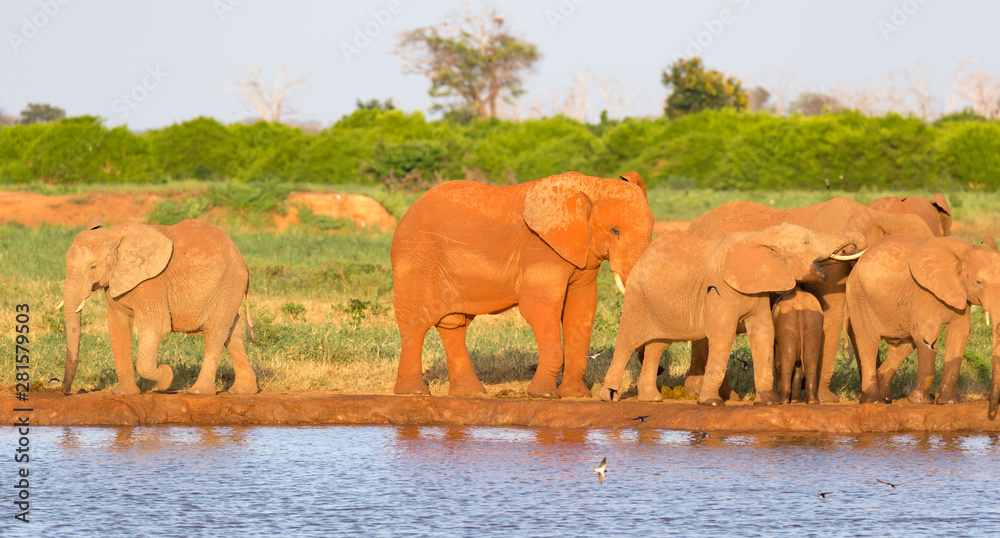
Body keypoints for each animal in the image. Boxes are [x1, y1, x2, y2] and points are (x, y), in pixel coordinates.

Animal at [62, 218, 258, 395]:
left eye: (93, 266)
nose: (66, 390)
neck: (112, 234)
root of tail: (242, 259)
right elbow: (118, 327)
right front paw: (123, 393)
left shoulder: (151, 282)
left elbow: (155, 328)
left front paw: (166, 378)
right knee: (232, 332)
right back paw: (243, 391)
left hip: (229, 283)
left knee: (215, 332)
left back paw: (198, 392)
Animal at [391, 171, 654, 399]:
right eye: (614, 231)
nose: (658, 370)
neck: (591, 185)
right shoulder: (542, 249)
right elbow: (539, 308)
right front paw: (545, 395)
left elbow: (581, 310)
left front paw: (577, 395)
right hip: (416, 257)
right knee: (416, 323)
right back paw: (414, 393)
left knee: (453, 325)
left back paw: (470, 393)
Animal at [598, 223, 863, 406]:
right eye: (806, 243)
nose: (854, 245)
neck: (761, 236)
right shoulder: (722, 290)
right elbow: (723, 337)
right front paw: (712, 403)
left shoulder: (759, 291)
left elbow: (764, 333)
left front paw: (767, 402)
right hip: (637, 297)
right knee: (627, 342)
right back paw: (608, 397)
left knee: (657, 345)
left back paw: (651, 399)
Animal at [684, 196, 946, 403]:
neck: (881, 215)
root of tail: (693, 226)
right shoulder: (833, 271)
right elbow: (832, 316)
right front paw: (827, 398)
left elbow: (855, 324)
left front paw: (879, 396)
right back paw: (715, 395)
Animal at [846, 235, 1000, 413]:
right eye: (978, 282)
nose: (991, 414)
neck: (966, 249)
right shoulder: (924, 293)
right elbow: (929, 335)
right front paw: (921, 401)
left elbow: (959, 334)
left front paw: (950, 402)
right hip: (858, 295)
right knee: (868, 342)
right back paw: (874, 401)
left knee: (904, 346)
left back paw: (886, 397)